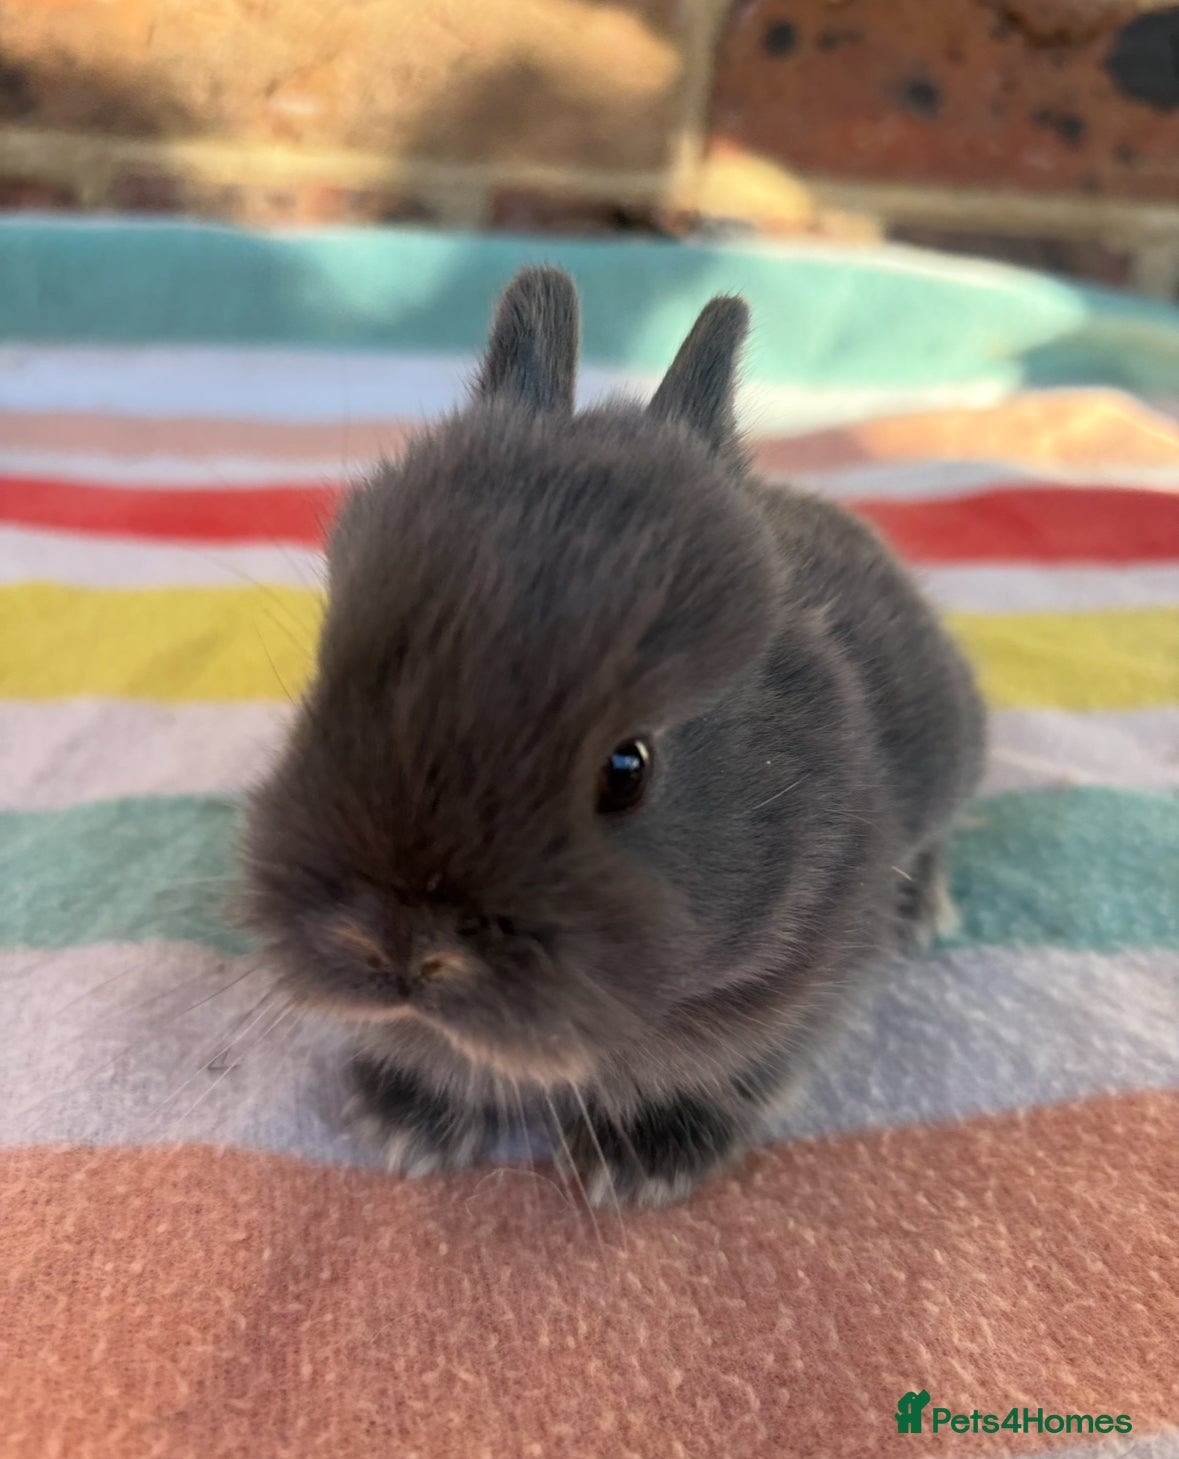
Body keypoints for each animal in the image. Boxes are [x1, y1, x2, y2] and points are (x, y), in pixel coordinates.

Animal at [241, 267, 985, 1207]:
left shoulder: (800, 992)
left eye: (626, 767)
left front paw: (633, 1164)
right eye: (329, 682)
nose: (402, 948)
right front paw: (406, 1121)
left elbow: (737, 1075)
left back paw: (920, 911)